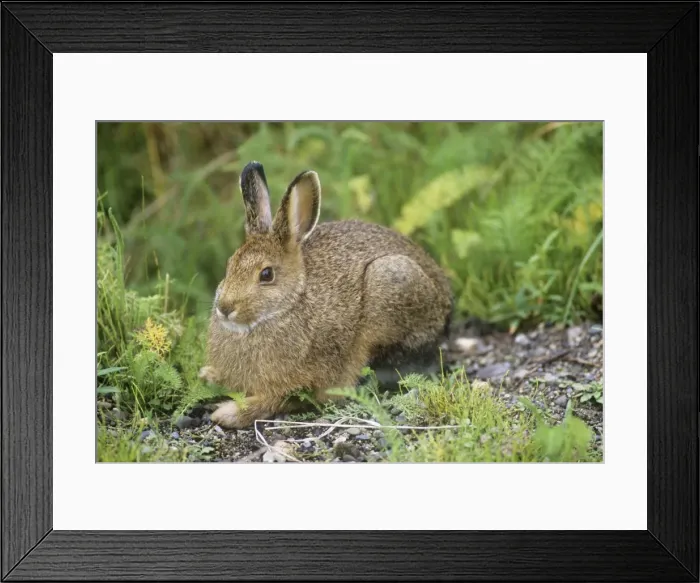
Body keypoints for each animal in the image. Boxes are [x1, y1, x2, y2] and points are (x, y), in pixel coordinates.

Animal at [199, 161, 453, 429]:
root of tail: (447, 310)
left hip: (391, 284)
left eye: (266, 274)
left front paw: (229, 413)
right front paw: (209, 376)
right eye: (229, 265)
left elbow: (275, 401)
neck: (289, 304)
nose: (225, 308)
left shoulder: (301, 381)